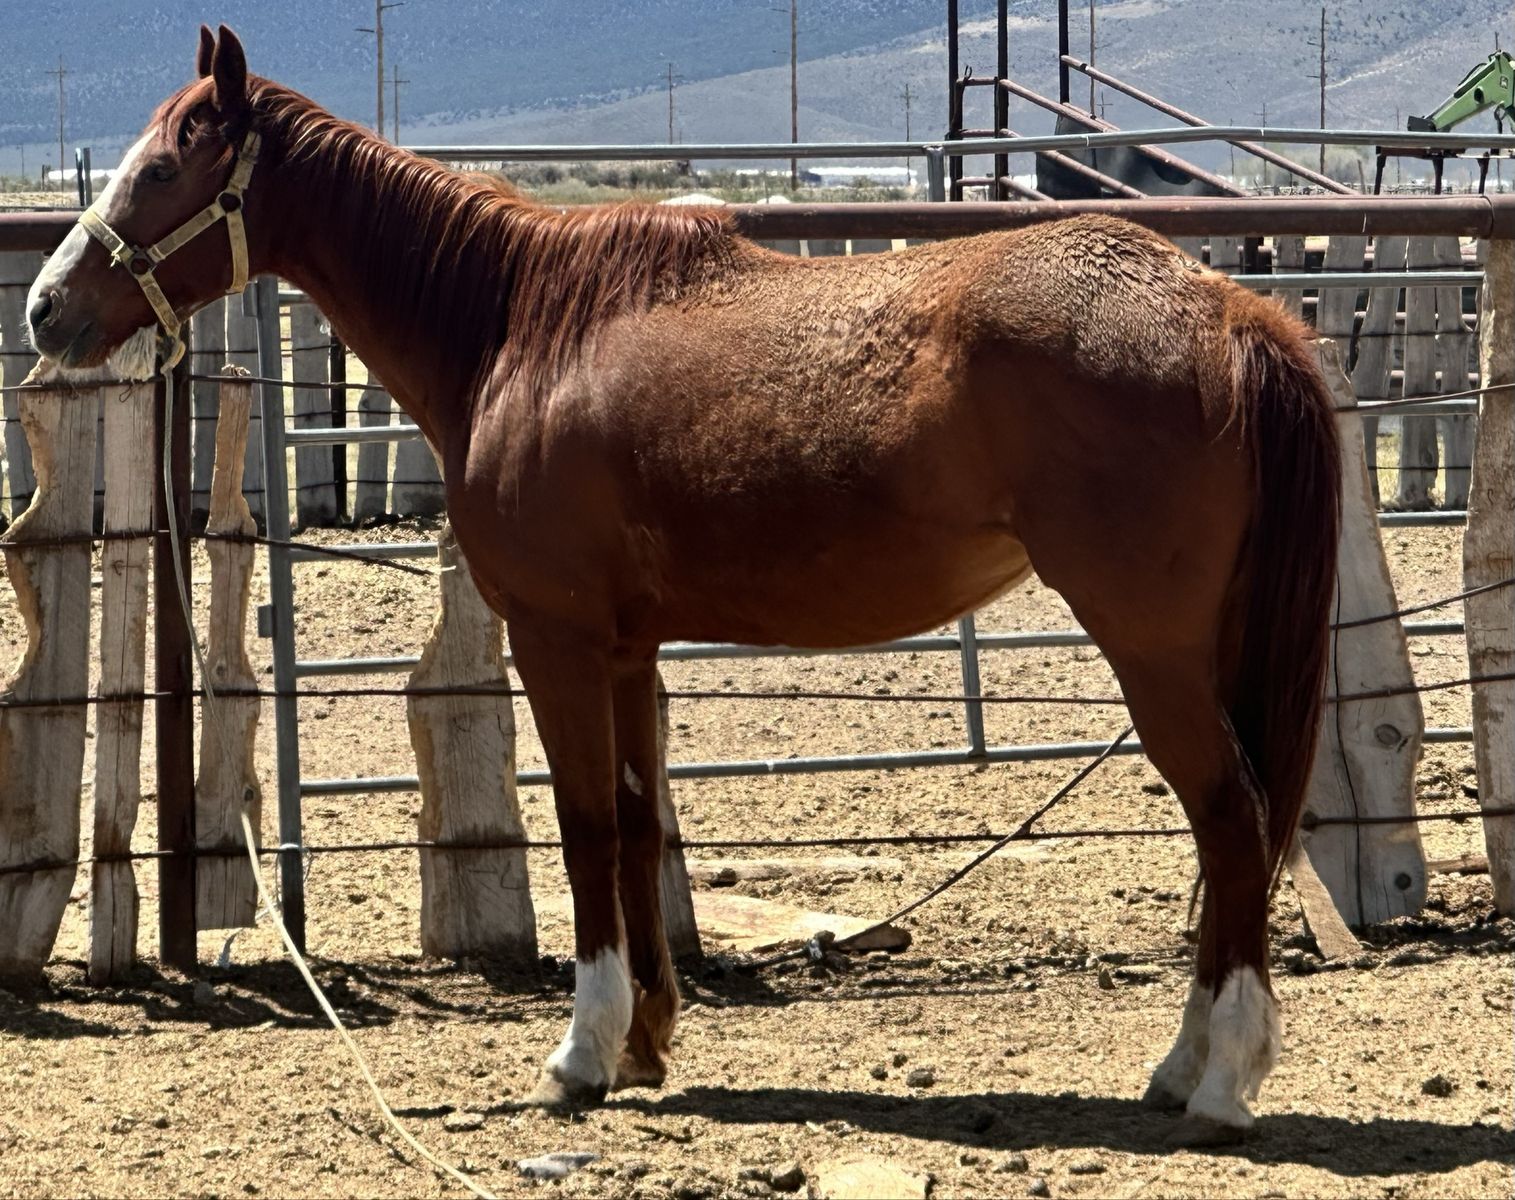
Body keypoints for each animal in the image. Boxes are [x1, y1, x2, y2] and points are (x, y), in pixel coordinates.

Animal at [26, 26, 1341, 1143]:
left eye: (161, 165)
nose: (45, 307)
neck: (522, 324)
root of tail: (1226, 308)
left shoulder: (556, 640)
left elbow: (587, 826)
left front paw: (581, 1053)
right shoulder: (627, 650)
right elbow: (641, 819)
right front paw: (647, 1039)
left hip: (1151, 649)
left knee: (1233, 819)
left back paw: (1221, 1081)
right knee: (1232, 832)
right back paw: (1181, 1064)